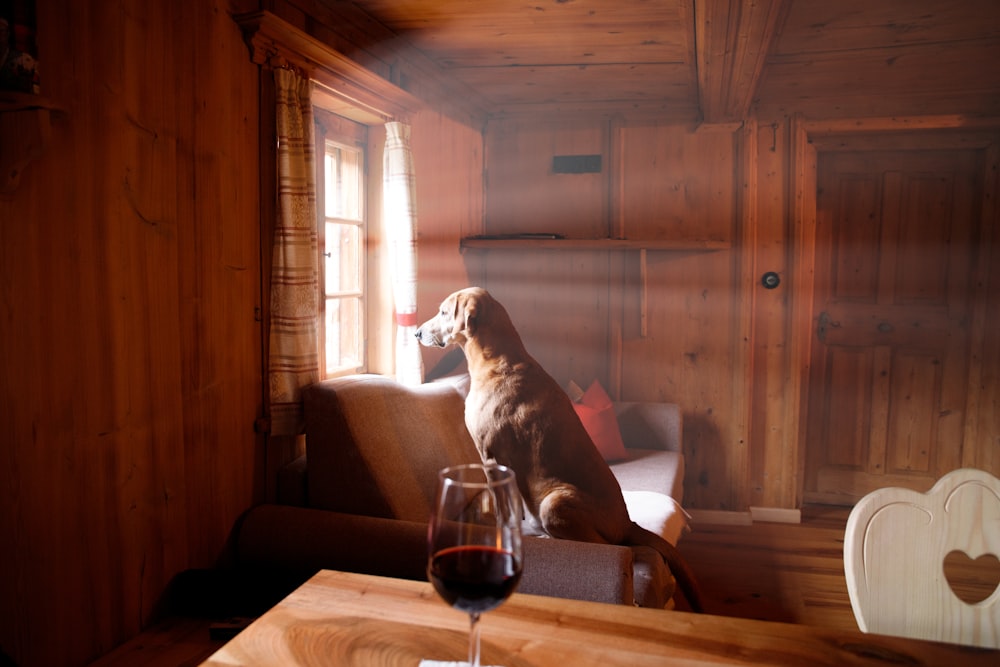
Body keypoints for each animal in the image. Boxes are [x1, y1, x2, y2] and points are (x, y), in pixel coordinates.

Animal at [414, 284, 704, 612]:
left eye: (443, 312)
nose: (417, 333)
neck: (495, 360)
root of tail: (627, 523)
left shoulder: (491, 460)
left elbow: (503, 512)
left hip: (554, 502)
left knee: (609, 547)